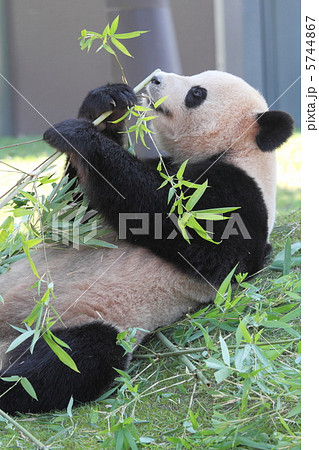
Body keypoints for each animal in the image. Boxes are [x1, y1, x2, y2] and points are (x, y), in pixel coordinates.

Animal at [0, 71, 296, 414]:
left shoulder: (241, 200)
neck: (239, 152)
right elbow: (70, 214)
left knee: (64, 364)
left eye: (197, 93)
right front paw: (107, 103)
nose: (155, 78)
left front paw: (78, 135)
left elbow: (172, 222)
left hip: (70, 325)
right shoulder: (168, 166)